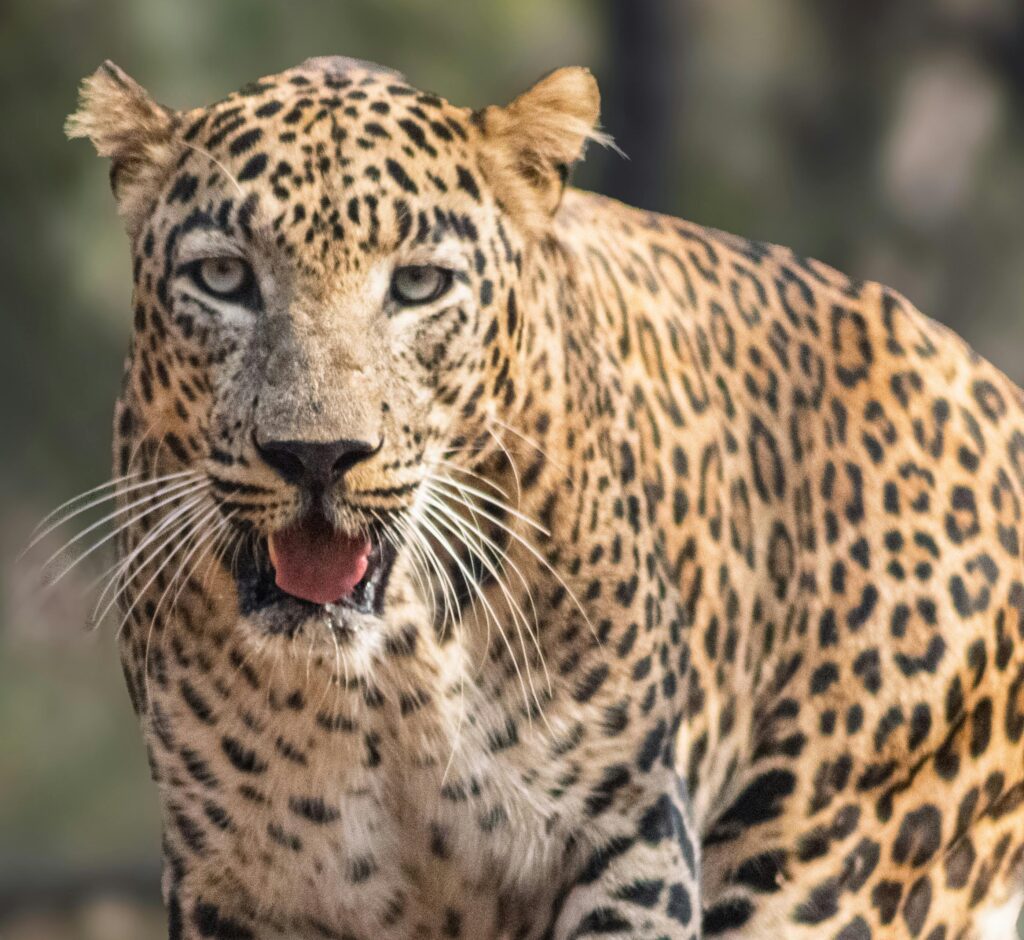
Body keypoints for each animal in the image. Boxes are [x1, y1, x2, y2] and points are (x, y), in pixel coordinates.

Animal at [61, 54, 1024, 939]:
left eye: (418, 285)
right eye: (224, 278)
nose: (317, 455)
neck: (386, 681)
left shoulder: (628, 831)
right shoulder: (237, 880)